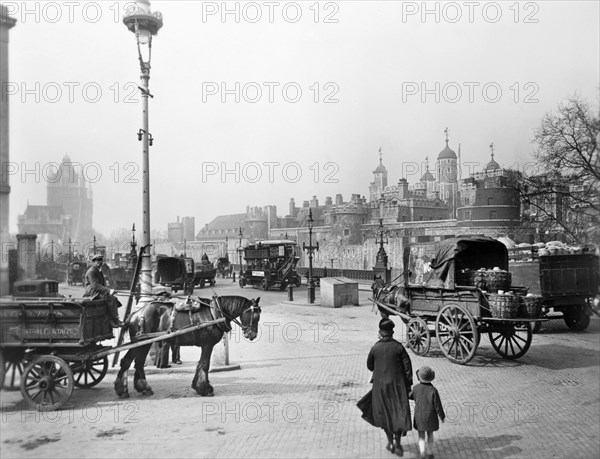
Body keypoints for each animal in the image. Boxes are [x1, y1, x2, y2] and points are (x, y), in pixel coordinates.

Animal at [115, 298, 260, 398]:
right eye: (255, 316)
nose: (252, 335)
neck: (215, 313)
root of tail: (136, 313)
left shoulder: (205, 345)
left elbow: (200, 364)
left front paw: (198, 386)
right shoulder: (207, 345)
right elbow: (205, 364)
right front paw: (204, 389)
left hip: (145, 343)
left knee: (138, 362)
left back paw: (144, 388)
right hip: (142, 342)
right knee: (127, 361)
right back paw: (122, 390)